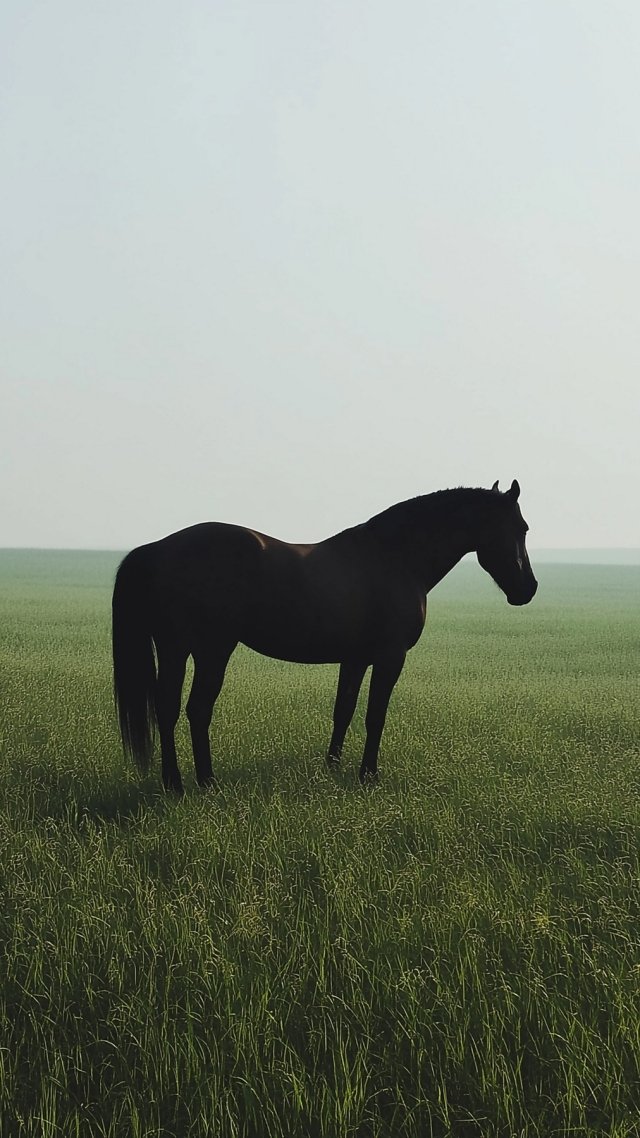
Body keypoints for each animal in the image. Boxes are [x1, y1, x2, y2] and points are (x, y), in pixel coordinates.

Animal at [112, 479, 537, 793]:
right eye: (521, 528)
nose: (528, 589)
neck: (394, 558)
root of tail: (157, 548)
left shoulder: (355, 658)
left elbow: (343, 711)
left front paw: (332, 768)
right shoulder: (390, 657)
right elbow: (375, 715)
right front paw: (368, 776)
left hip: (178, 651)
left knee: (167, 710)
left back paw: (177, 782)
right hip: (210, 651)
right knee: (195, 709)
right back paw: (201, 782)